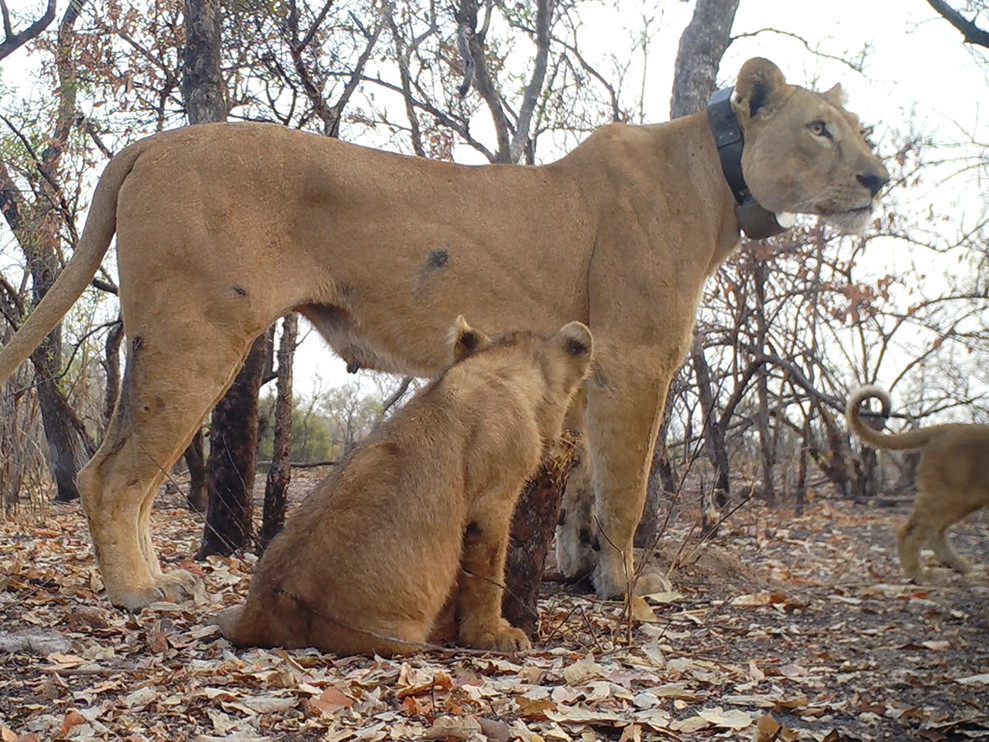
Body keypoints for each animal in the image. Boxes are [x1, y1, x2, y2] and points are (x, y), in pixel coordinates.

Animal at [0, 57, 887, 609]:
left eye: (857, 126)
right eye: (819, 128)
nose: (879, 178)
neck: (719, 175)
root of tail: (152, 140)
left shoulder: (588, 363)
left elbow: (577, 483)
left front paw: (571, 568)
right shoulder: (637, 358)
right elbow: (626, 485)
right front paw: (627, 586)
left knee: (128, 475)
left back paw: (160, 582)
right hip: (196, 333)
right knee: (112, 475)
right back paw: (138, 594)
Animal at [215, 316, 593, 655]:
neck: (494, 369)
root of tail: (258, 615)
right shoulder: (493, 501)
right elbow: (488, 574)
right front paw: (495, 634)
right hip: (398, 636)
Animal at [846, 385, 989, 581]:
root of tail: (944, 427)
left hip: (960, 501)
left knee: (935, 532)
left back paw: (955, 565)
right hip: (948, 497)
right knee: (909, 531)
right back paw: (917, 574)